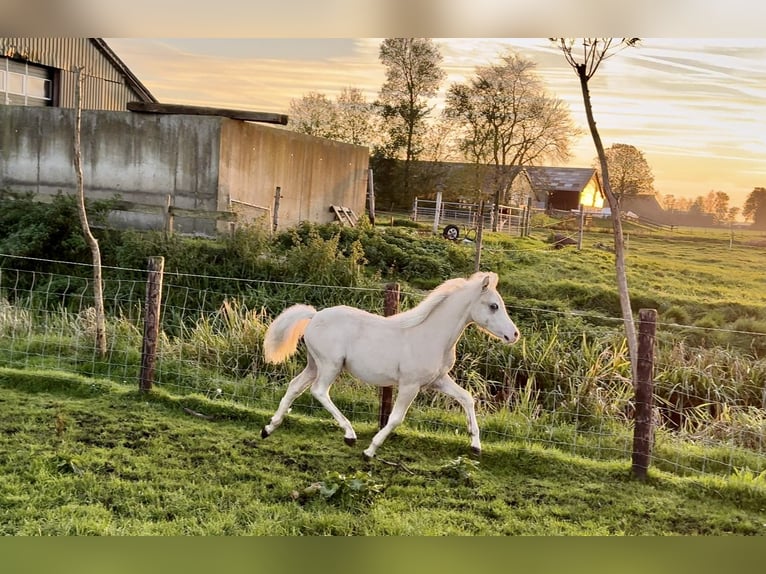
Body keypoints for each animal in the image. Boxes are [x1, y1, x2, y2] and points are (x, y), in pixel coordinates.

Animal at [262, 272, 520, 462]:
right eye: (494, 306)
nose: (514, 334)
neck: (432, 336)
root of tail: (314, 316)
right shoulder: (410, 385)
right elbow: (396, 418)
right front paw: (369, 451)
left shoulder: (438, 380)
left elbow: (467, 398)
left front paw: (476, 446)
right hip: (330, 365)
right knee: (319, 391)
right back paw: (350, 435)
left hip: (314, 364)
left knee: (295, 386)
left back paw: (269, 428)